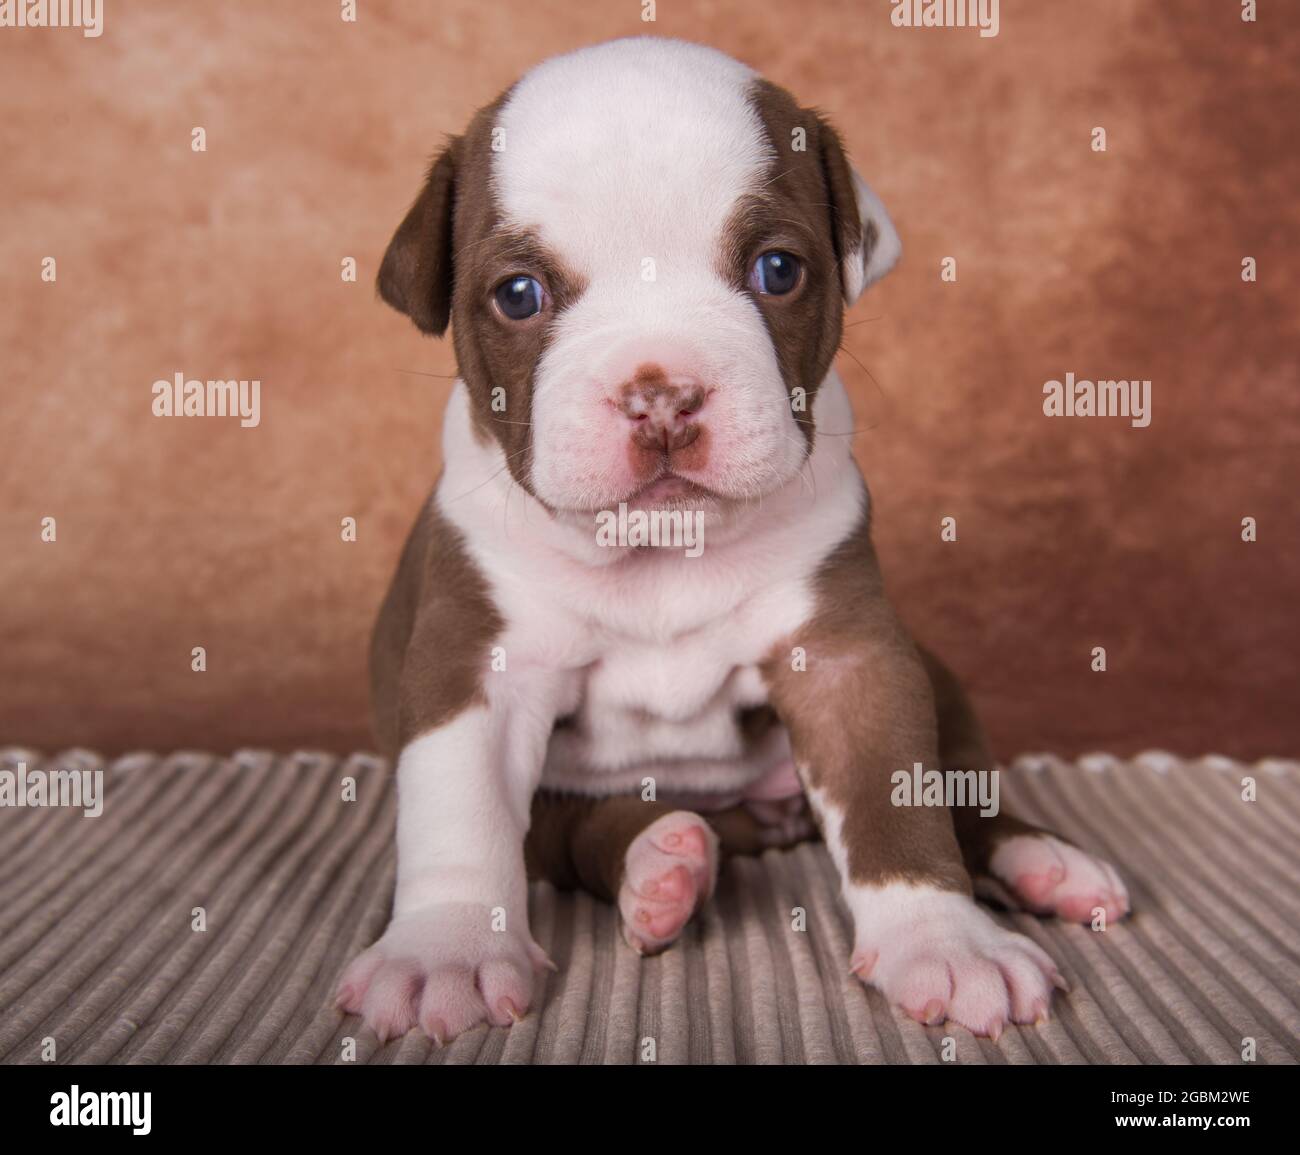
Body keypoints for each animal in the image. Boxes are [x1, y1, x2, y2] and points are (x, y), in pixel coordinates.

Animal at [335, 36, 1128, 1045]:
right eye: (519, 293)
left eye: (777, 270)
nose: (661, 393)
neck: (661, 549)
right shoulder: (473, 668)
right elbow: (459, 814)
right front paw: (447, 951)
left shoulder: (852, 661)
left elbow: (897, 795)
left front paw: (945, 943)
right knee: (575, 834)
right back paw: (661, 866)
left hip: (938, 674)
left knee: (965, 791)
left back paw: (1043, 862)